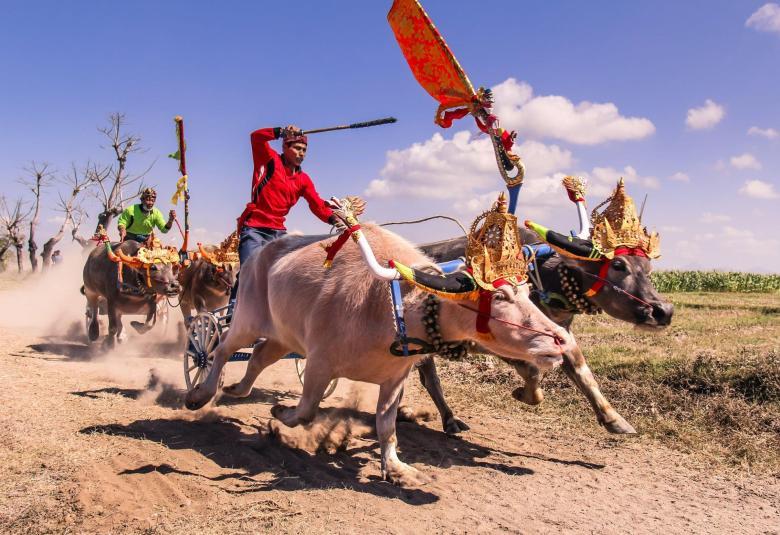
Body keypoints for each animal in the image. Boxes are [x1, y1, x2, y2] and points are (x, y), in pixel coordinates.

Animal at [183, 224, 572, 488]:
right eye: (500, 297)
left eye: (527, 291)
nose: (561, 340)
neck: (393, 305)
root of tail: (259, 257)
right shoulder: (319, 363)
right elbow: (306, 410)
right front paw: (280, 414)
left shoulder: (394, 378)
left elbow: (387, 426)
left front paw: (397, 468)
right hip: (246, 318)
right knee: (221, 348)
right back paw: (200, 393)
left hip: (282, 335)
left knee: (260, 357)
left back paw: (235, 390)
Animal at [418, 227, 672, 436]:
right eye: (618, 265)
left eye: (648, 269)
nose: (664, 311)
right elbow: (531, 371)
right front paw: (521, 394)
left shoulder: (562, 333)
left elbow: (583, 373)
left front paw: (614, 419)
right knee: (430, 379)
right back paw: (446, 419)